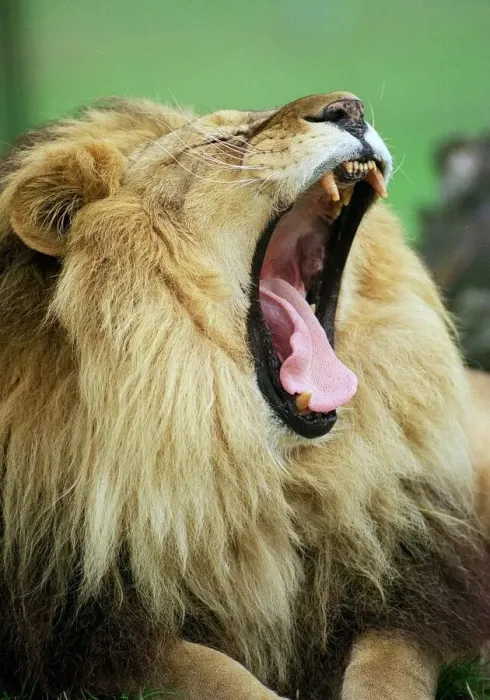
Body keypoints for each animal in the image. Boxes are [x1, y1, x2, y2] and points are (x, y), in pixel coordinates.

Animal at [0, 92, 489, 700]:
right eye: (221, 141)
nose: (349, 108)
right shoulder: (79, 632)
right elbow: (211, 671)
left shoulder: (412, 589)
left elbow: (388, 668)